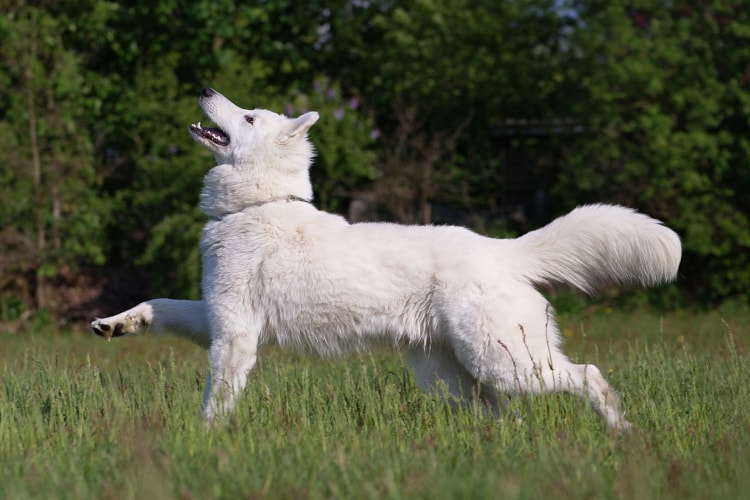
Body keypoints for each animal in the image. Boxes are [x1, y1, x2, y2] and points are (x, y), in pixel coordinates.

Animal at [91, 87, 684, 430]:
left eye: (250, 117)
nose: (204, 87)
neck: (258, 205)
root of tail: (504, 249)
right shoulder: (212, 315)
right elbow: (159, 304)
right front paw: (115, 324)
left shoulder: (235, 334)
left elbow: (217, 397)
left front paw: (206, 440)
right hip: (455, 378)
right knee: (505, 415)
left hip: (510, 364)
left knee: (588, 376)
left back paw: (622, 434)